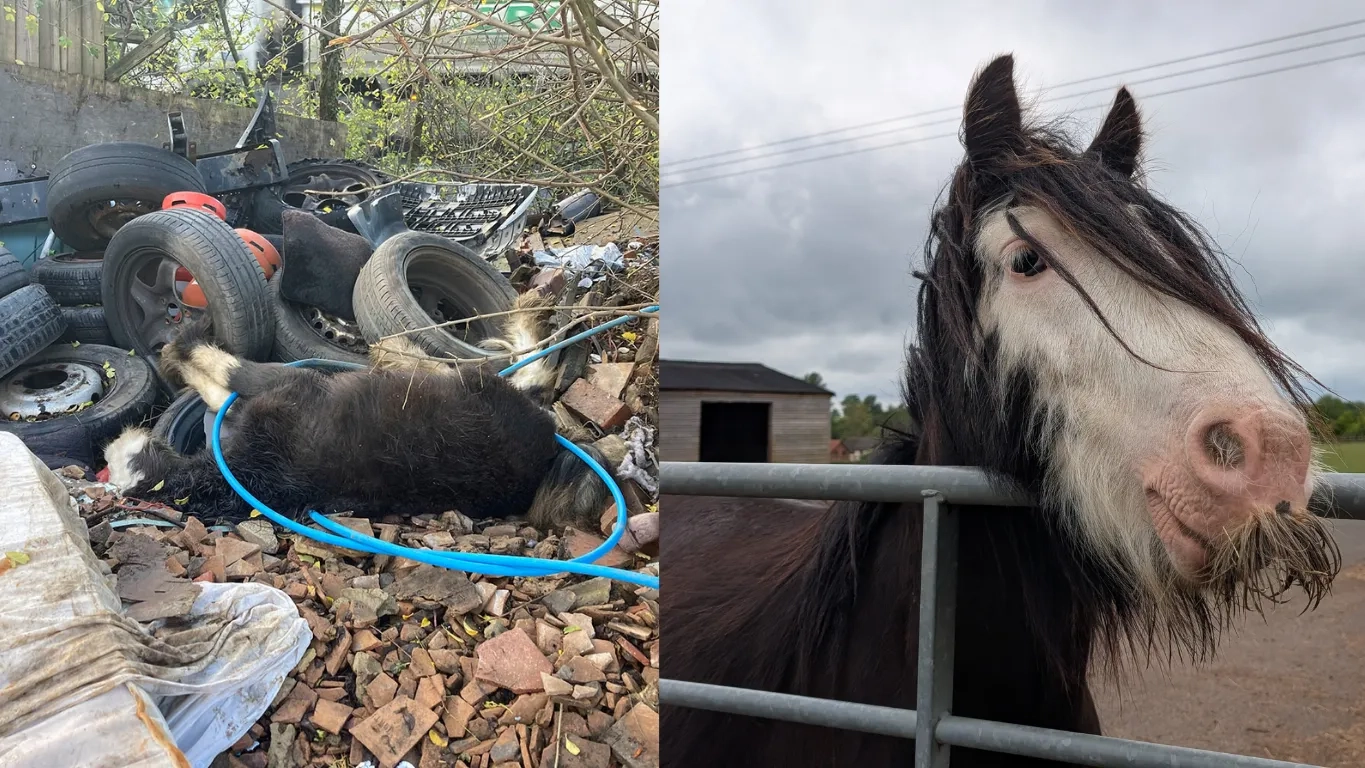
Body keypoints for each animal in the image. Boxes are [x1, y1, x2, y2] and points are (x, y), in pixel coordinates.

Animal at [102, 290, 614, 532]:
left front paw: (179, 350)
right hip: (478, 389)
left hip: (472, 385)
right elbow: (219, 381)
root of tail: (548, 450)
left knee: (528, 370)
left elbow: (226, 372)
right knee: (527, 377)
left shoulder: (285, 384)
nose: (110, 444)